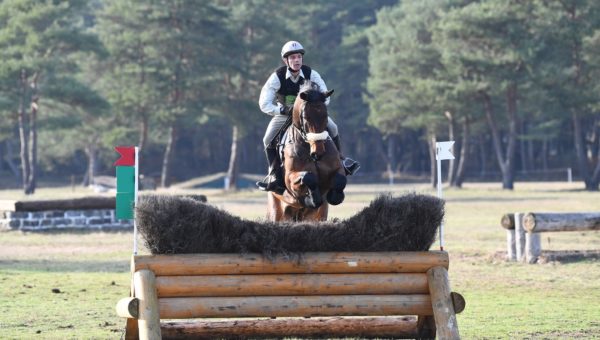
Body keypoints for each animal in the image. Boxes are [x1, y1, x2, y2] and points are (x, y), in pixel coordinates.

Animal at [268, 81, 346, 222]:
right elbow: (308, 177)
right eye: (305, 117)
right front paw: (312, 199)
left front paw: (335, 196)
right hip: (277, 211)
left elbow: (340, 180)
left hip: (317, 216)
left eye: (325, 115)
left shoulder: (338, 169)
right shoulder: (290, 179)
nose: (318, 152)